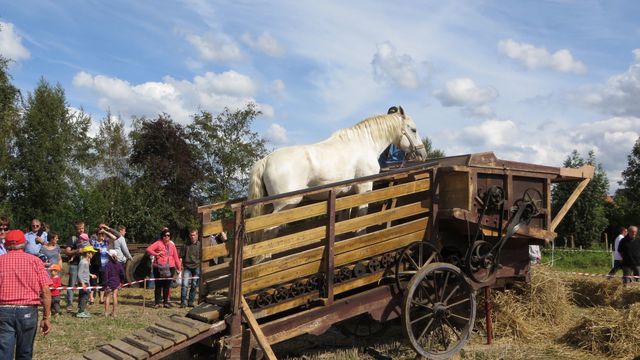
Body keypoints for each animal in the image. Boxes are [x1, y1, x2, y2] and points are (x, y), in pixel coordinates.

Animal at [248, 106, 428, 253]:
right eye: (413, 130)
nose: (422, 154)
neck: (364, 143)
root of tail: (266, 160)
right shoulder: (364, 187)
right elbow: (361, 216)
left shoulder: (346, 194)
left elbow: (344, 221)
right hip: (286, 205)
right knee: (269, 232)